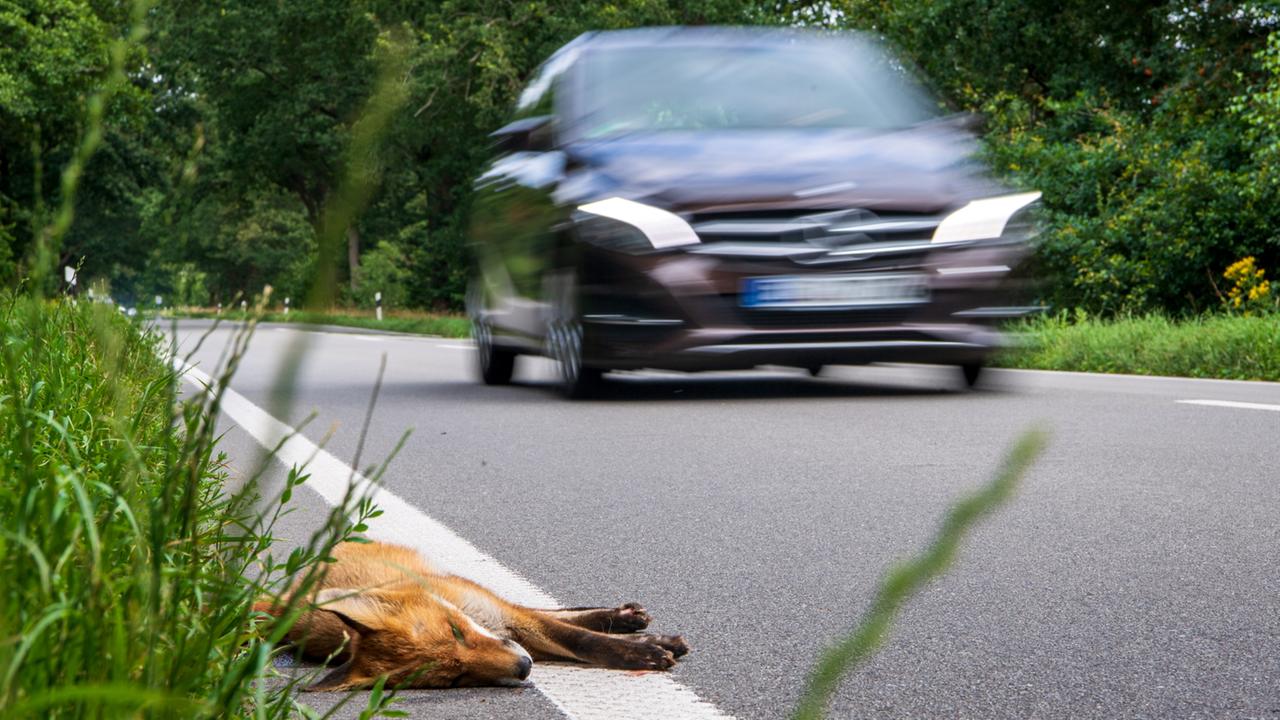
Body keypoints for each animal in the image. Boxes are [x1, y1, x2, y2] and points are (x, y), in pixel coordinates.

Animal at [257, 538, 691, 691]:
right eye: (456, 678)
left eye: (457, 632)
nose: (524, 667)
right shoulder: (515, 631)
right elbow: (581, 639)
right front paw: (648, 647)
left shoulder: (506, 617)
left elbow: (581, 637)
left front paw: (645, 647)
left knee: (553, 609)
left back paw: (628, 618)